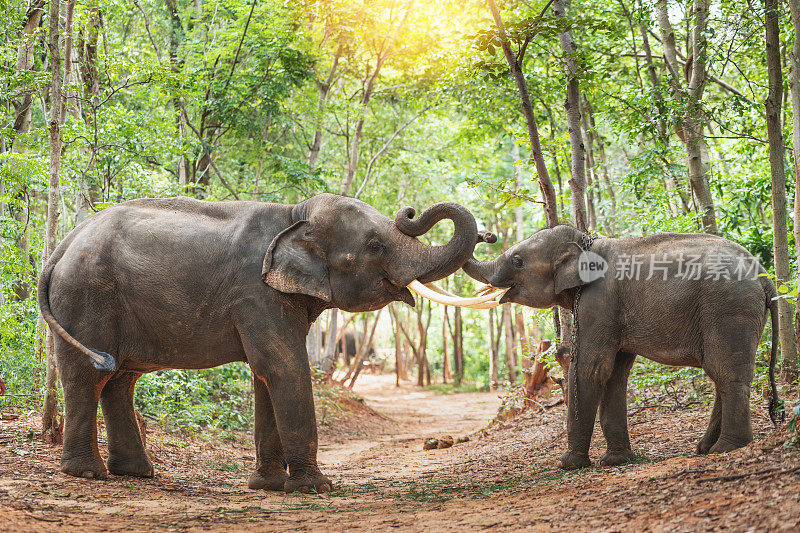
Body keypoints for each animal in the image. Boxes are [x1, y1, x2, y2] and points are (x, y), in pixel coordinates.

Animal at [39, 193, 488, 492]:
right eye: (375, 246)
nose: (489, 235)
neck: (295, 214)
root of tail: (63, 245)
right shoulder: (256, 292)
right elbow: (283, 365)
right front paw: (315, 488)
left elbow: (266, 374)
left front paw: (268, 485)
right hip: (85, 297)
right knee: (88, 376)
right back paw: (87, 473)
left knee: (120, 379)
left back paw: (137, 472)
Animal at [462, 224, 780, 470]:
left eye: (517, 261)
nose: (486, 235)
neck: (587, 241)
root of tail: (765, 277)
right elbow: (614, 374)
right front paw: (616, 461)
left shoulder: (599, 302)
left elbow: (590, 370)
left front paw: (569, 464)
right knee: (721, 375)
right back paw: (704, 447)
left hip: (728, 308)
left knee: (726, 372)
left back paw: (726, 448)